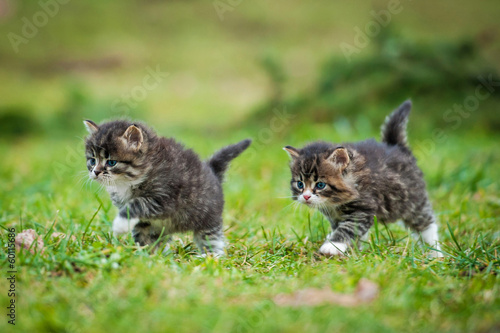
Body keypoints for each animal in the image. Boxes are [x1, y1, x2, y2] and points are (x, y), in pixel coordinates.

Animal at [83, 119, 252, 254]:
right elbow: (141, 232)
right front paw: (146, 253)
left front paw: (120, 225)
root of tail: (212, 171)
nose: (96, 172)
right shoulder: (145, 220)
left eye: (111, 162)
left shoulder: (165, 198)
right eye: (92, 160)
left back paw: (210, 256)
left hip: (208, 217)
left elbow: (137, 203)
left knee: (212, 239)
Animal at [284, 100, 444, 256]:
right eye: (300, 184)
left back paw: (435, 252)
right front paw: (353, 249)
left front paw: (332, 246)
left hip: (413, 201)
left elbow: (348, 228)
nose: (306, 197)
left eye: (320, 185)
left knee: (427, 224)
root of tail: (396, 146)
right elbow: (347, 230)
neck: (334, 202)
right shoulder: (336, 217)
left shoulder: (364, 208)